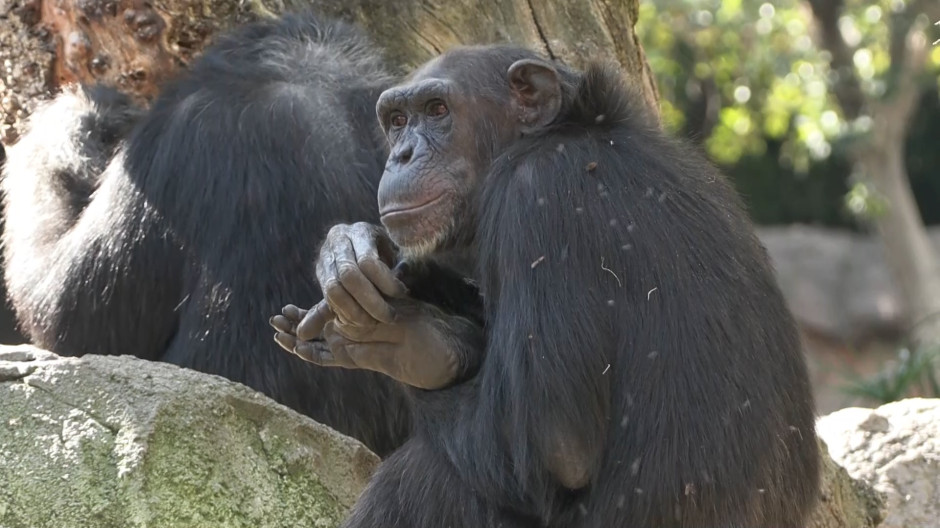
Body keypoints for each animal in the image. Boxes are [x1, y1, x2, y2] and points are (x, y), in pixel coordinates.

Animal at [270, 46, 816, 528]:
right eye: (398, 119)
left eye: (438, 110)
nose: (401, 154)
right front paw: (351, 250)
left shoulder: (536, 199)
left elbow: (557, 449)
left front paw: (414, 343)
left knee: (427, 479)